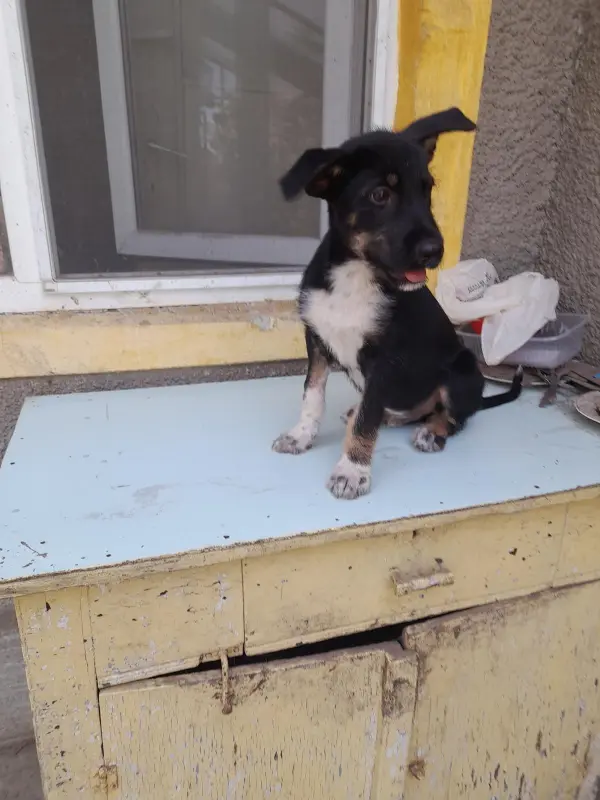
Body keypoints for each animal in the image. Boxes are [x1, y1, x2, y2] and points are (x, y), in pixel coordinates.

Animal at [272, 108, 522, 500]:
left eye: (427, 189)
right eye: (380, 195)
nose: (435, 251)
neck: (355, 276)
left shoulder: (384, 361)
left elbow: (367, 419)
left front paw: (352, 471)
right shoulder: (316, 341)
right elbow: (313, 395)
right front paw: (301, 436)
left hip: (462, 371)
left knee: (455, 418)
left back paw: (432, 432)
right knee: (410, 409)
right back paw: (394, 416)